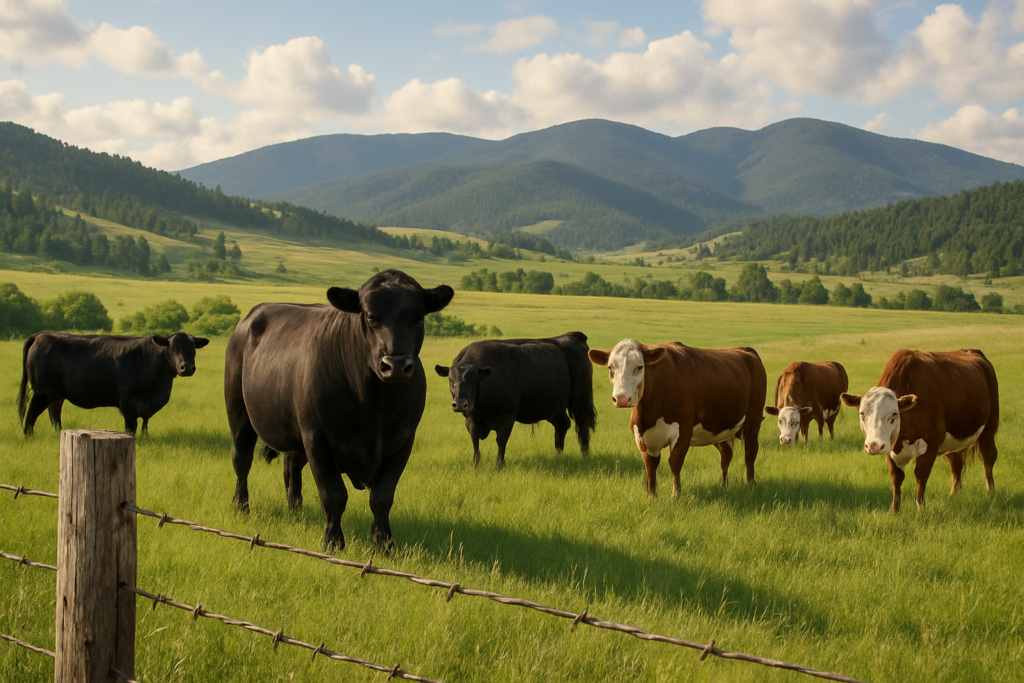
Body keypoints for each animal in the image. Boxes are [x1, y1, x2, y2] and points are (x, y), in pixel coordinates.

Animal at [17, 331, 210, 435]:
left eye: (193, 348)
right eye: (173, 347)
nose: (187, 367)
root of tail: (41, 335)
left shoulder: (147, 404)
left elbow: (145, 425)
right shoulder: (128, 403)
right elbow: (131, 427)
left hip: (57, 395)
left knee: (54, 414)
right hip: (42, 392)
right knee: (31, 415)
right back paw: (29, 436)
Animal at [224, 269, 453, 551]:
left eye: (418, 317)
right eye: (370, 316)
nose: (396, 365)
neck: (375, 403)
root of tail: (248, 319)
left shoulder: (403, 440)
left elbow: (382, 497)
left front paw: (384, 543)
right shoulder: (317, 438)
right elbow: (333, 494)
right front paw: (333, 541)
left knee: (291, 467)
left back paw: (295, 509)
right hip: (239, 414)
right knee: (242, 461)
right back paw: (241, 506)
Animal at [434, 332, 596, 468]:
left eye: (472, 380)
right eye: (451, 381)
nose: (460, 404)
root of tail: (573, 336)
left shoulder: (507, 417)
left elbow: (501, 440)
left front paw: (500, 464)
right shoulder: (471, 418)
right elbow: (474, 439)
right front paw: (476, 463)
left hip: (580, 401)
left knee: (582, 426)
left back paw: (585, 454)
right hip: (553, 408)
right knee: (562, 425)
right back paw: (558, 455)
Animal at [588, 339, 766, 496]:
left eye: (639, 367)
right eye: (610, 367)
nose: (622, 399)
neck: (651, 413)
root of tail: (745, 351)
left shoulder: (683, 431)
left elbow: (674, 462)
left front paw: (676, 494)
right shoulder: (642, 436)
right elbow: (650, 465)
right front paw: (651, 495)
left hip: (753, 420)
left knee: (750, 453)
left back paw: (750, 485)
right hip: (720, 427)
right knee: (726, 455)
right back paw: (724, 485)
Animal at [840, 348, 999, 513]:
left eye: (894, 414)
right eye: (862, 413)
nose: (874, 446)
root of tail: (972, 351)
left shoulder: (930, 447)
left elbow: (921, 476)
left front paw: (920, 508)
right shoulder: (891, 448)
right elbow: (896, 477)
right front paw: (894, 509)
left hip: (989, 427)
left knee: (989, 457)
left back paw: (990, 492)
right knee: (956, 462)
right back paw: (954, 494)